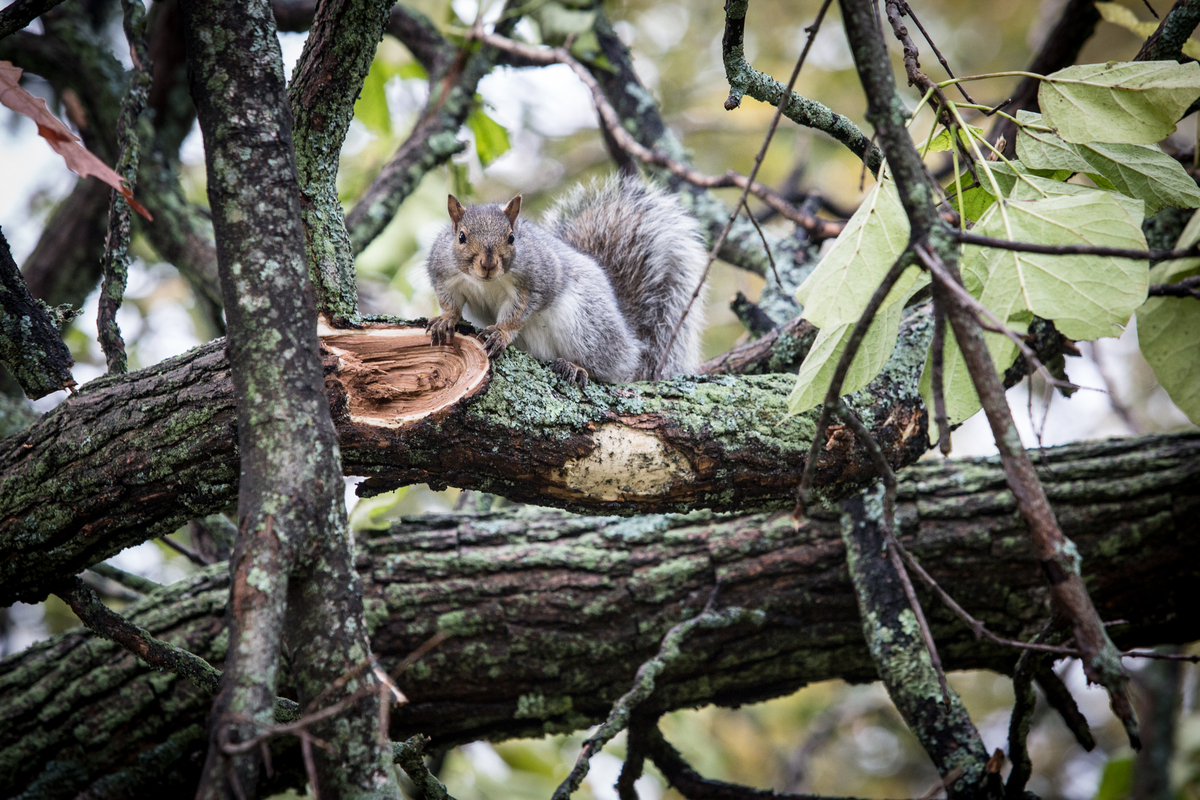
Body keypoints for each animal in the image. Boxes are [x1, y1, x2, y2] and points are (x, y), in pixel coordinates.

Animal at [424, 175, 708, 386]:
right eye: (461, 237)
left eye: (512, 237)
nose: (488, 264)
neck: (485, 283)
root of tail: (630, 337)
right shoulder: (443, 274)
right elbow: (449, 301)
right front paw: (446, 320)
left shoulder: (535, 281)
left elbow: (518, 314)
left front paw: (501, 334)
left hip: (588, 325)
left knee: (609, 367)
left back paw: (577, 367)